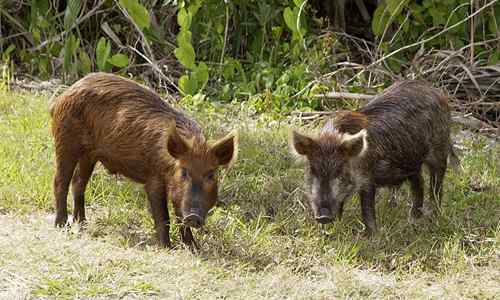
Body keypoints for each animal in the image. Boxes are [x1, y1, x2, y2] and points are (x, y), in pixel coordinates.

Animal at [50, 72, 238, 246]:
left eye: (211, 175)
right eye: (184, 171)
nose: (193, 216)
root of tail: (64, 95)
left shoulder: (176, 192)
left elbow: (179, 215)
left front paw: (193, 247)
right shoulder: (153, 179)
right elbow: (163, 217)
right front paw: (166, 247)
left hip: (89, 155)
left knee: (78, 183)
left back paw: (82, 223)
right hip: (65, 142)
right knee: (60, 181)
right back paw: (62, 225)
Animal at [290, 81, 458, 236]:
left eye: (340, 172)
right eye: (312, 171)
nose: (323, 216)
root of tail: (437, 92)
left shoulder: (367, 178)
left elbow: (367, 208)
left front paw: (369, 236)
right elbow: (341, 205)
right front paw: (330, 231)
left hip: (439, 150)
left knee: (436, 185)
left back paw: (433, 215)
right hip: (411, 162)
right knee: (419, 183)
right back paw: (413, 217)